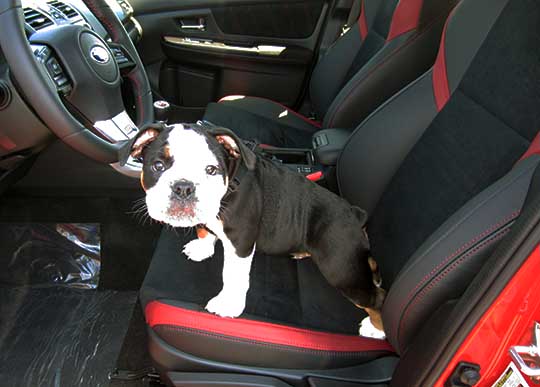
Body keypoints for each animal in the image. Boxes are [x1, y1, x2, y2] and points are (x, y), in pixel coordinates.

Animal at [121, 123, 386, 336]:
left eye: (211, 170)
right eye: (157, 166)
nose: (183, 187)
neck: (231, 183)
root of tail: (355, 213)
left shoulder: (240, 244)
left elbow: (232, 276)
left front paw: (227, 304)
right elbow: (204, 229)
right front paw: (203, 246)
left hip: (341, 267)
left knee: (376, 297)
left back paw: (376, 328)